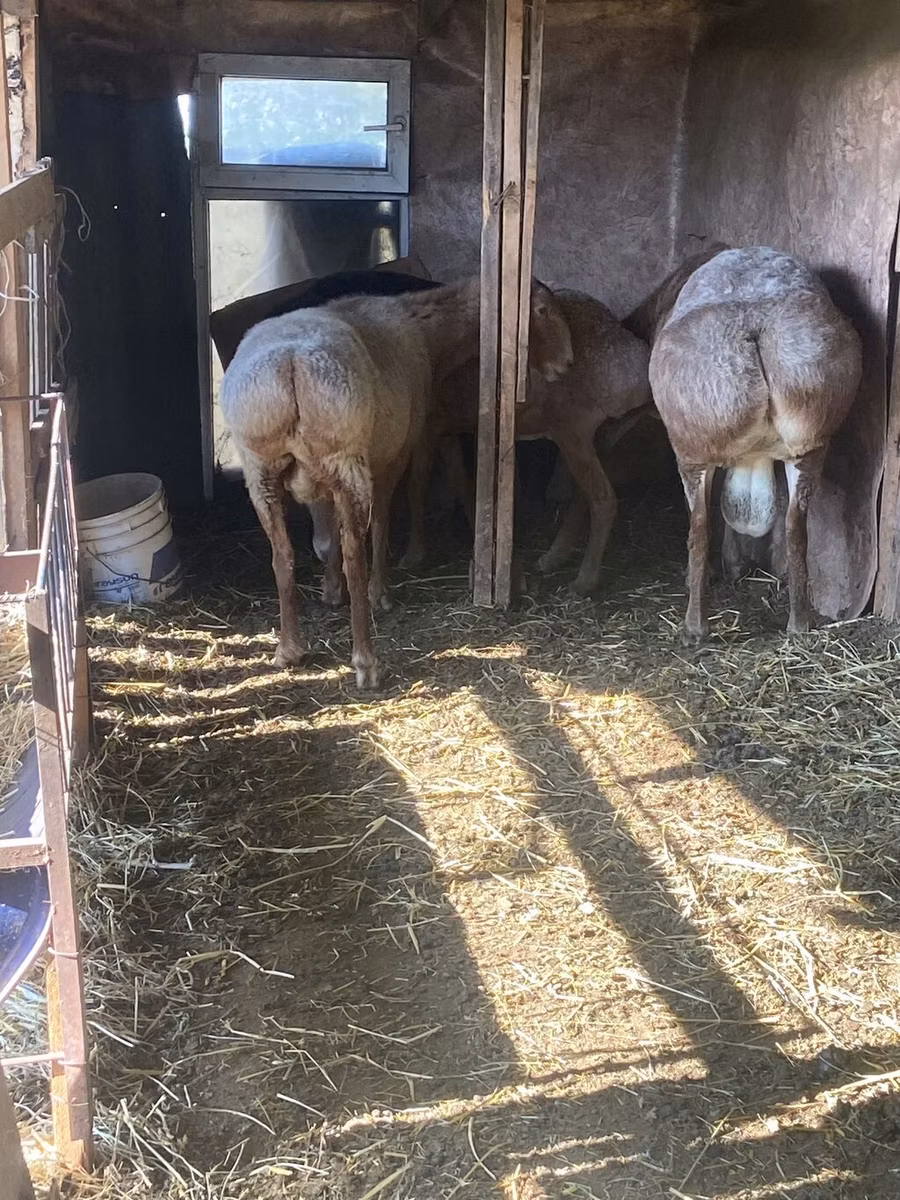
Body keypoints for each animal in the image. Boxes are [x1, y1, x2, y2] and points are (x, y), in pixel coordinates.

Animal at [219, 276, 573, 689]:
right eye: (542, 310)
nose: (567, 362)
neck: (427, 333)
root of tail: (290, 363)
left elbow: (328, 531)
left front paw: (330, 589)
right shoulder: (396, 451)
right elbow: (388, 516)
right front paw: (381, 590)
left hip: (260, 469)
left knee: (283, 556)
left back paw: (289, 650)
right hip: (347, 458)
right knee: (356, 555)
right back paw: (367, 660)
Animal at [403, 289, 652, 594]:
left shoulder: (428, 426)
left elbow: (417, 487)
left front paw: (413, 554)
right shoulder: (447, 428)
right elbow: (460, 481)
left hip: (573, 429)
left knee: (603, 499)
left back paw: (584, 580)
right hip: (605, 431)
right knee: (585, 494)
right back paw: (554, 557)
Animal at [630, 245, 862, 644]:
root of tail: (755, 319)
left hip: (691, 450)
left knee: (700, 526)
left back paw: (695, 626)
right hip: (810, 448)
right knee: (795, 526)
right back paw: (798, 622)